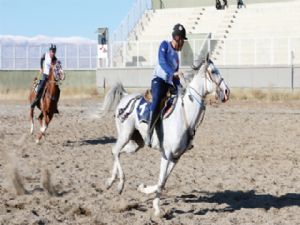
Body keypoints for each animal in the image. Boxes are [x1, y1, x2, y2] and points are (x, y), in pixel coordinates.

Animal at [102, 53, 231, 216]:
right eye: (214, 71)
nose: (226, 92)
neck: (184, 115)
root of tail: (126, 97)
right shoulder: (166, 154)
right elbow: (161, 181)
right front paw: (156, 208)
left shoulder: (176, 157)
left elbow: (162, 182)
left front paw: (145, 190)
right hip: (125, 134)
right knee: (115, 150)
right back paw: (120, 184)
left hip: (136, 143)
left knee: (118, 152)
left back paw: (110, 181)